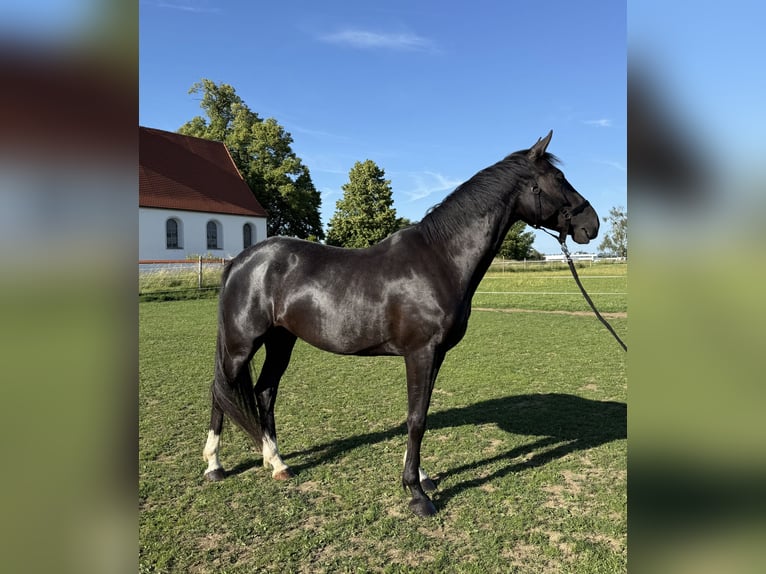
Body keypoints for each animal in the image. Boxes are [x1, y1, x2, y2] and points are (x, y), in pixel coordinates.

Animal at [202, 131, 599, 517]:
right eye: (558, 179)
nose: (591, 224)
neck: (440, 259)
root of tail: (239, 261)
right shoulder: (420, 352)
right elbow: (416, 419)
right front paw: (416, 495)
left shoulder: (435, 354)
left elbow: (420, 414)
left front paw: (422, 477)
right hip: (240, 345)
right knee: (221, 392)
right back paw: (215, 466)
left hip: (281, 341)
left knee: (264, 393)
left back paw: (277, 463)